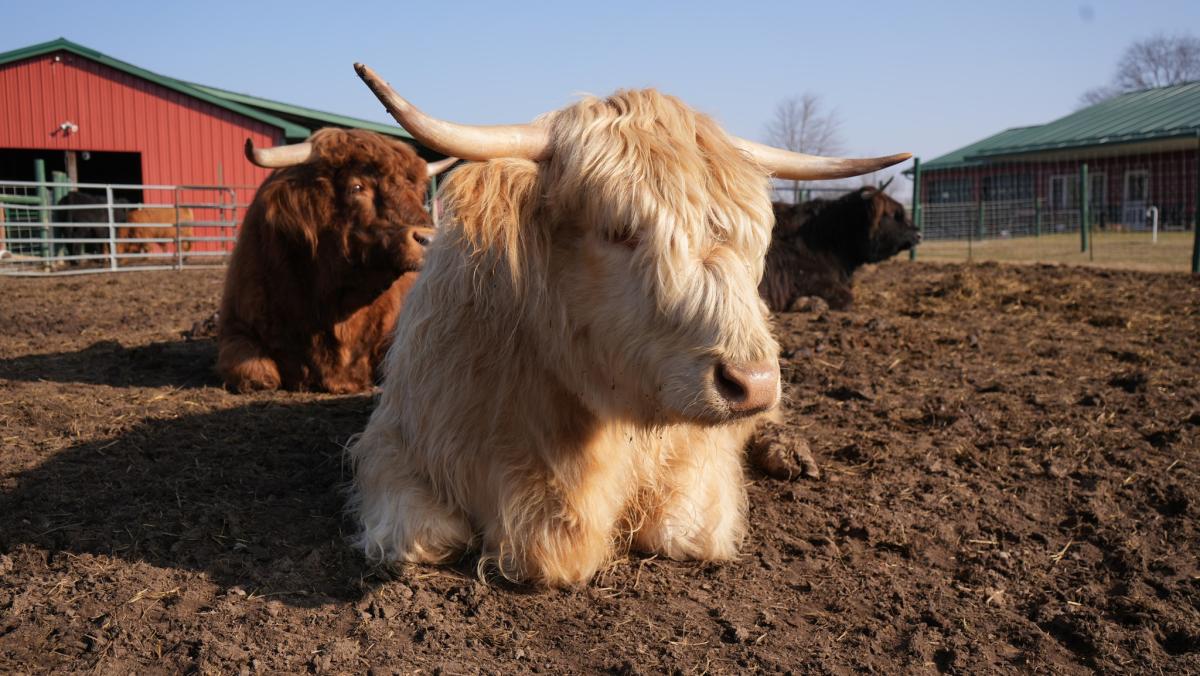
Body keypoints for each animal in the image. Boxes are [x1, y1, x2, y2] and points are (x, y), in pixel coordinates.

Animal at [350, 63, 907, 588]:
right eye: (619, 230)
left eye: (754, 238)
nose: (753, 383)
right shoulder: (396, 436)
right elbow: (427, 537)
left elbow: (679, 530)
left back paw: (788, 452)